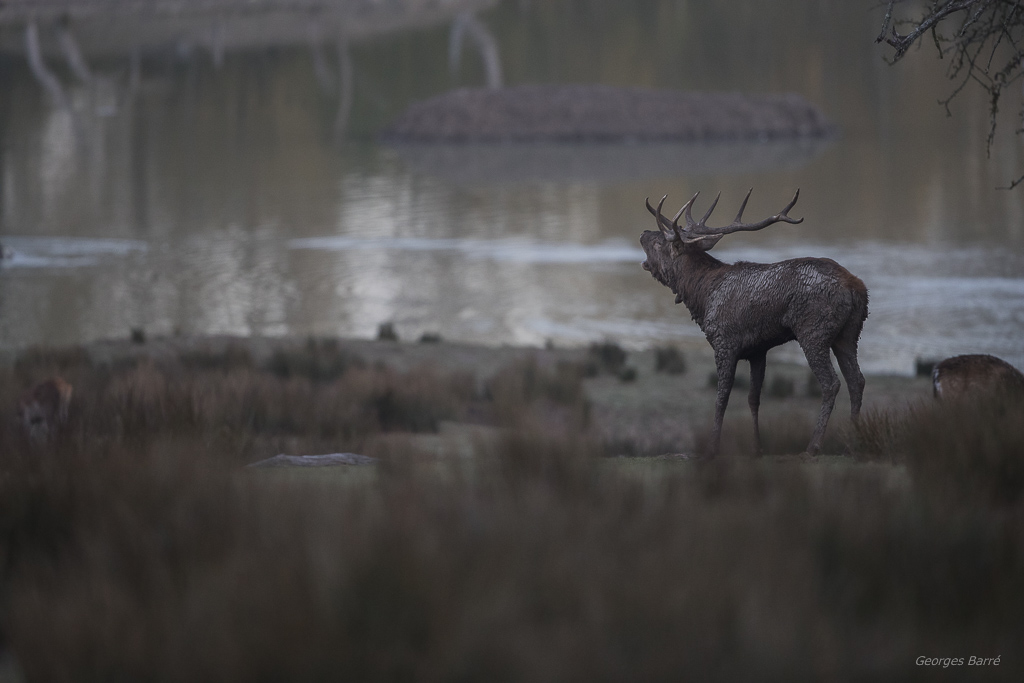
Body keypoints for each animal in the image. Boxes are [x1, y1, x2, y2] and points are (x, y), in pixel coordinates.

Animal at [640, 189, 869, 458]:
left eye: (659, 243)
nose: (643, 233)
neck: (702, 297)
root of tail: (856, 287)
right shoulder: (758, 350)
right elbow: (753, 398)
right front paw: (757, 447)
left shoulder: (724, 342)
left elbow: (722, 398)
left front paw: (713, 447)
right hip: (849, 333)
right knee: (857, 380)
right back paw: (852, 442)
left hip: (814, 331)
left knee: (832, 383)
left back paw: (813, 446)